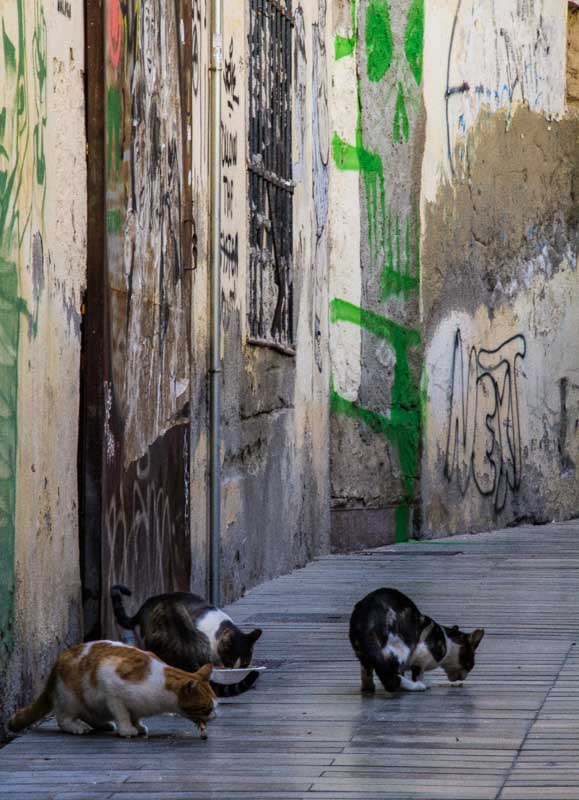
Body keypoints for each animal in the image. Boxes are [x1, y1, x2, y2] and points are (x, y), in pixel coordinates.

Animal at [8, 640, 218, 740]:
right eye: (207, 708)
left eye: (215, 706)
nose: (216, 716)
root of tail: (58, 661)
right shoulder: (110, 685)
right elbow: (122, 713)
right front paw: (127, 730)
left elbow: (136, 715)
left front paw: (138, 726)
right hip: (70, 699)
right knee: (63, 719)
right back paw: (77, 727)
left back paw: (103, 725)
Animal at [348, 588, 484, 692]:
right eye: (471, 664)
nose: (464, 678)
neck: (447, 641)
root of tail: (367, 619)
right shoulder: (421, 657)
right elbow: (418, 673)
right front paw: (421, 683)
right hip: (401, 647)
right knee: (392, 677)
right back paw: (416, 687)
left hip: (363, 653)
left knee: (368, 671)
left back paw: (368, 688)